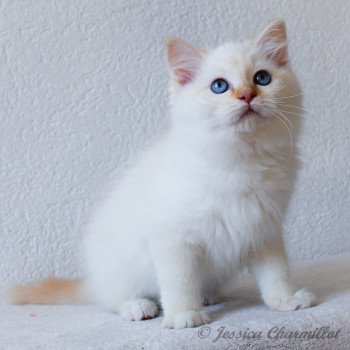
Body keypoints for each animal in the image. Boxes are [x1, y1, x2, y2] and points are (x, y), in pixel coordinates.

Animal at [8, 20, 314, 330]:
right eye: (219, 86)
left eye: (262, 78)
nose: (247, 95)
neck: (242, 159)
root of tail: (91, 281)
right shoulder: (172, 237)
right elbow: (180, 281)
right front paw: (183, 315)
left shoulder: (264, 229)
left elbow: (276, 272)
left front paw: (286, 300)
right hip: (120, 267)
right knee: (112, 300)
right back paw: (139, 306)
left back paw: (206, 296)